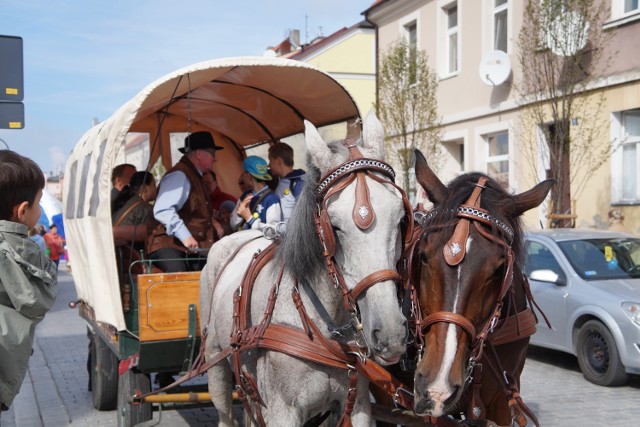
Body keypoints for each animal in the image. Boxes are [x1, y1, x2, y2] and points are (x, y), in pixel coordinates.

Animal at [201, 112, 410, 426]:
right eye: (333, 226)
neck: (326, 329)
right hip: (216, 364)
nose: (390, 334)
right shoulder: (281, 412)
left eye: (400, 219)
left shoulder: (358, 404)